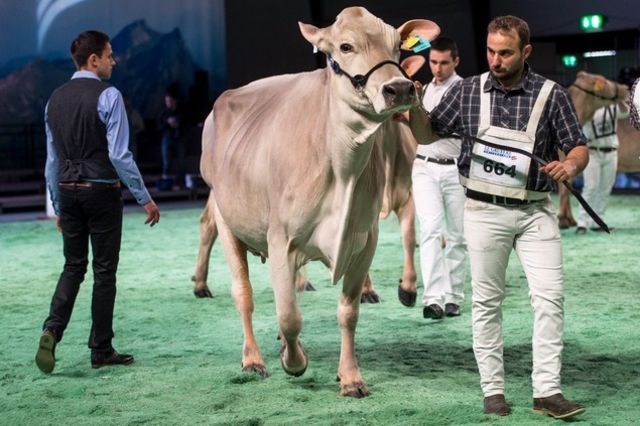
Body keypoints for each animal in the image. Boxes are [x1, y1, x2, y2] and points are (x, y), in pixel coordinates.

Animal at [198, 7, 439, 397]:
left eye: (396, 46)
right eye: (345, 46)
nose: (400, 88)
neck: (342, 168)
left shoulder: (365, 240)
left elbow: (348, 312)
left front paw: (351, 377)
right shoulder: (281, 239)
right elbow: (289, 315)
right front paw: (295, 362)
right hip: (225, 213)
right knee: (242, 291)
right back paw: (252, 358)